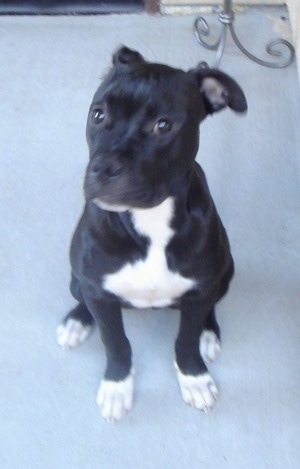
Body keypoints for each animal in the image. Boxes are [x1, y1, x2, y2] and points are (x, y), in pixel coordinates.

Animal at [56, 45, 246, 422]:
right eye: (98, 115)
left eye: (163, 125)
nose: (104, 168)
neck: (149, 220)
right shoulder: (98, 290)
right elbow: (115, 342)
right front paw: (117, 386)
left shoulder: (201, 287)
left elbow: (185, 340)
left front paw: (194, 377)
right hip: (77, 278)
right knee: (83, 298)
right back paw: (77, 321)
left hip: (226, 272)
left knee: (209, 308)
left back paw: (208, 333)